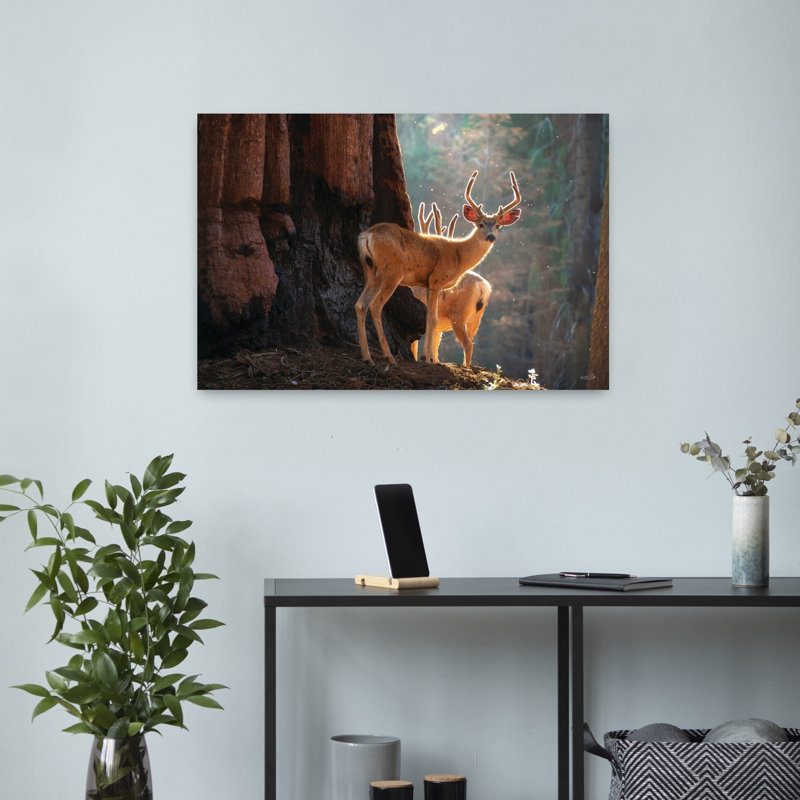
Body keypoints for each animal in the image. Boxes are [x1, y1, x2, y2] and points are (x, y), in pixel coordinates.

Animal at [409, 202, 493, 368]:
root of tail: (483, 287)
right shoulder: (438, 328)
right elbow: (435, 347)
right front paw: (431, 360)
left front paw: (423, 358)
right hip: (476, 318)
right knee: (471, 341)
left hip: (458, 315)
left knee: (467, 344)